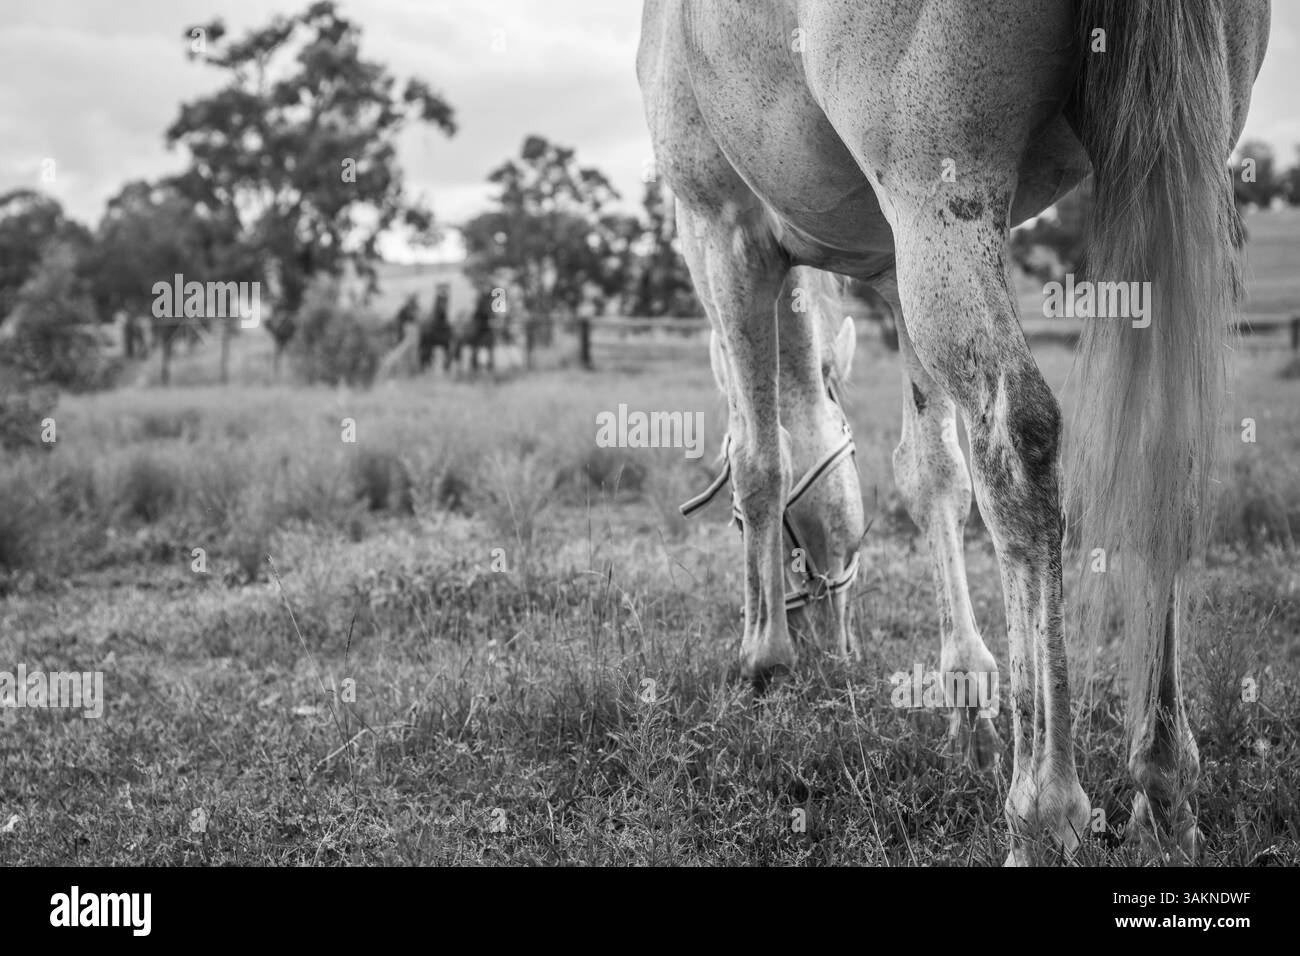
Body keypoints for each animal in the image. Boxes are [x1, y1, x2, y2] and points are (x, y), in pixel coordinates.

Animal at [639, 0, 1270, 865]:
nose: (831, 629)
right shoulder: (890, 264)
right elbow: (929, 471)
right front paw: (967, 702)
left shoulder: (721, 232)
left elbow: (761, 456)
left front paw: (763, 658)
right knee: (1159, 455)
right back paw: (1164, 785)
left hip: (938, 199)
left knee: (1016, 441)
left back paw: (1044, 808)